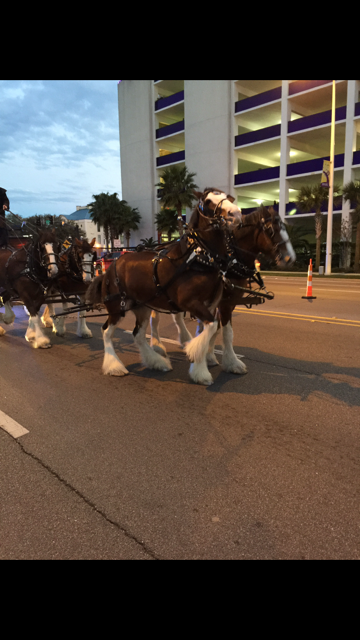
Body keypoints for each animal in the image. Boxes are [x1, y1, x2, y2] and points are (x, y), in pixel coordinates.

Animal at [87, 188, 243, 382]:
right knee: (107, 332)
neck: (199, 258)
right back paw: (114, 366)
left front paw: (199, 367)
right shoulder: (191, 303)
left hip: (142, 307)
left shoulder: (210, 305)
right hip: (117, 308)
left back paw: (157, 362)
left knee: (138, 335)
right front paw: (195, 357)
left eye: (229, 198)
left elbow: (208, 331)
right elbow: (212, 327)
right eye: (207, 202)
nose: (235, 214)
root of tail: (109, 269)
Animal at [149, 204, 296, 376]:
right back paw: (157, 346)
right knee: (155, 317)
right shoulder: (223, 301)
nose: (290, 258)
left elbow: (217, 329)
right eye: (272, 230)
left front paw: (208, 356)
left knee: (177, 315)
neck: (229, 259)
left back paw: (185, 340)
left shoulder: (224, 301)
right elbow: (223, 331)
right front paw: (230, 362)